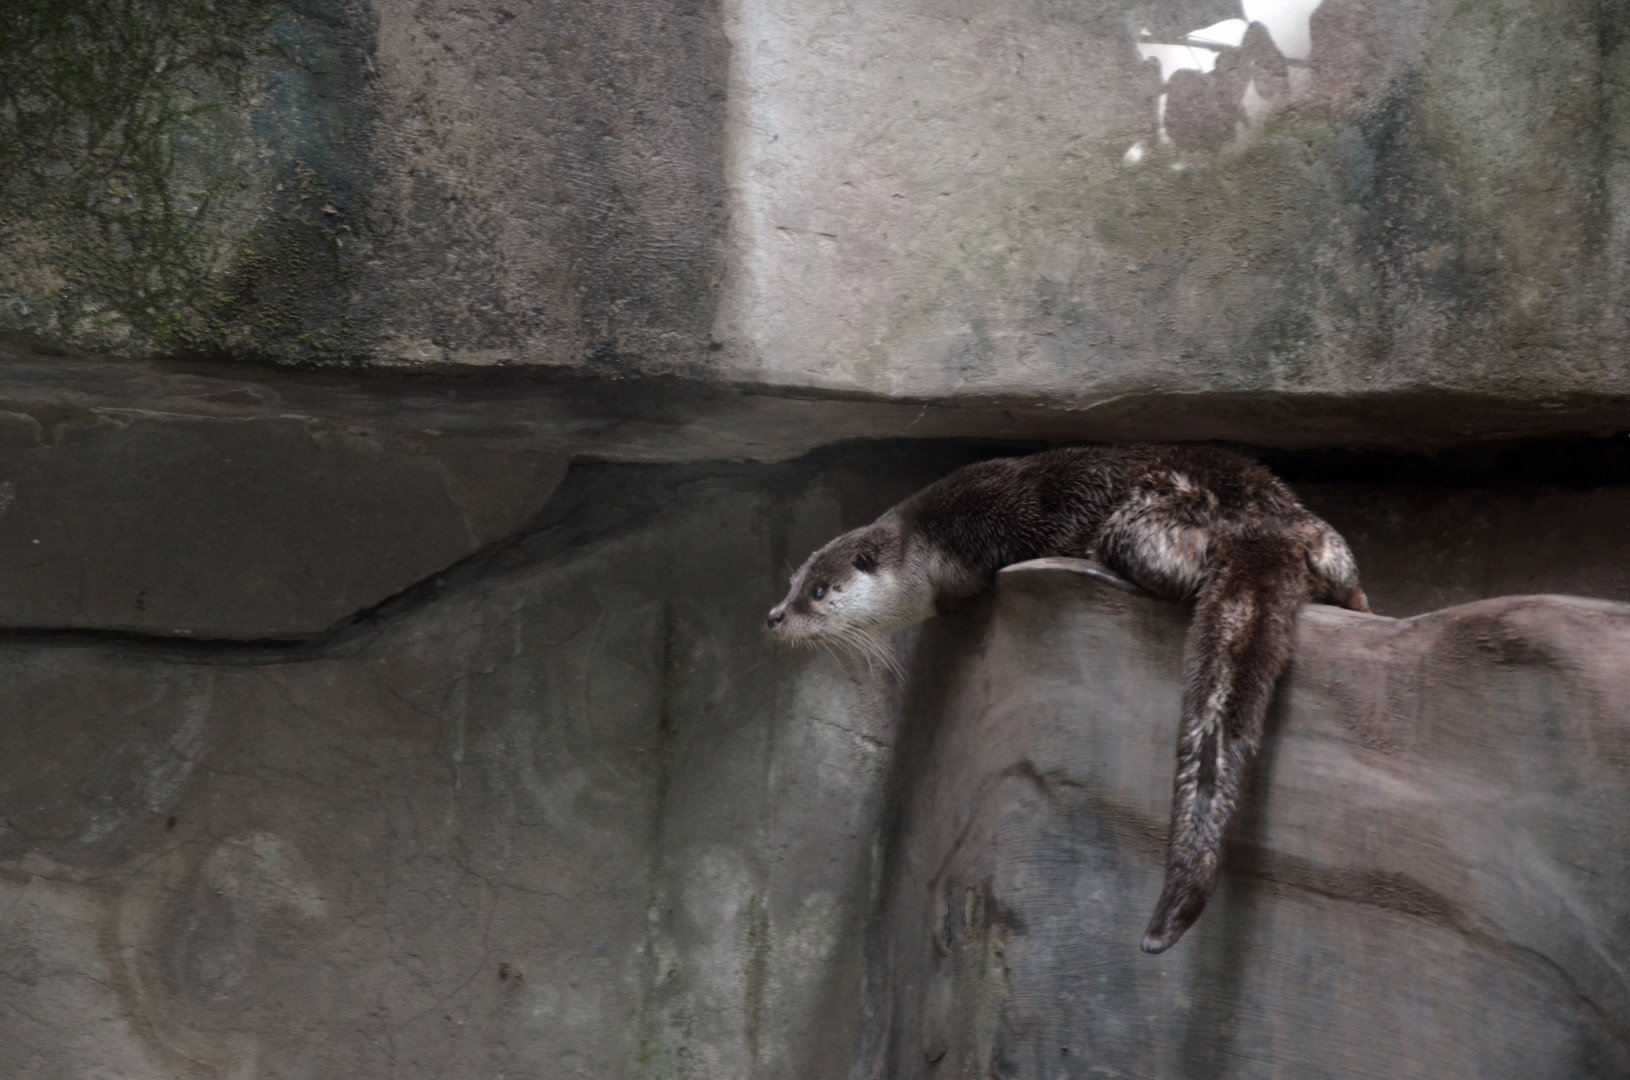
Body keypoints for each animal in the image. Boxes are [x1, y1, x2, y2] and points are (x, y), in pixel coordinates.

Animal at [766, 444, 1369, 953]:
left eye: (817, 592)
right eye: (793, 584)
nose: (774, 616)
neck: (924, 541)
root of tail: (1257, 520)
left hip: (1145, 525)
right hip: (1326, 539)